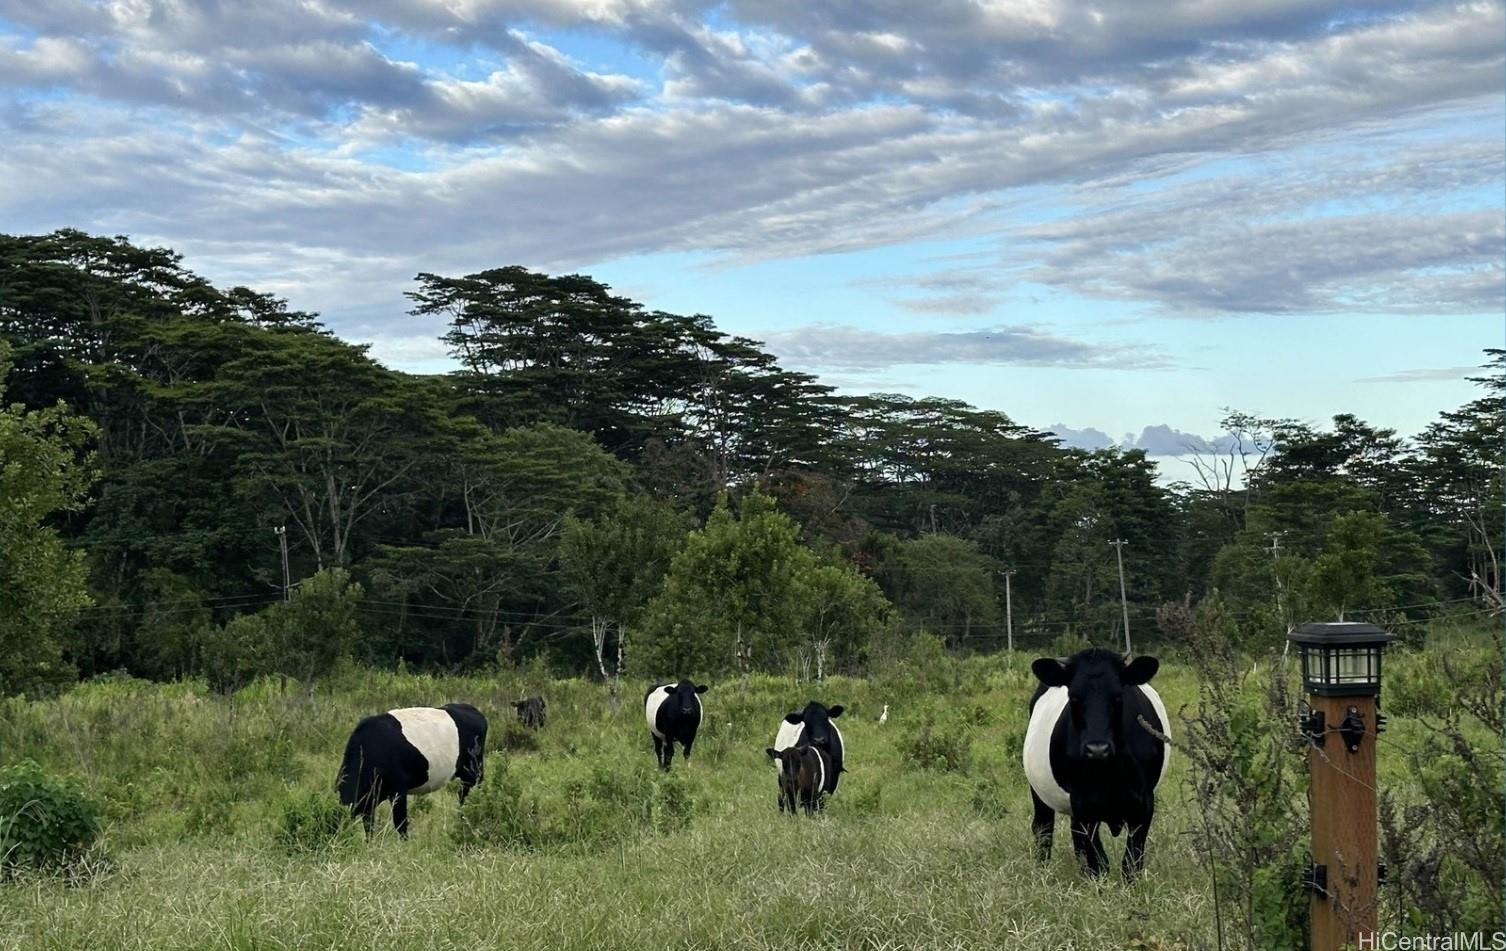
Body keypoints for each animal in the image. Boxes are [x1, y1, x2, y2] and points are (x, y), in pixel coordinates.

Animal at [337, 699, 487, 837]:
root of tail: (472, 709)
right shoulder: (369, 800)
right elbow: (369, 827)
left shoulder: (398, 790)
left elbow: (400, 824)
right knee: (463, 795)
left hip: (474, 770)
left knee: (471, 792)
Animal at [1024, 651, 1174, 880]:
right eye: (1074, 698)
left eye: (1118, 697)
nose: (1097, 749)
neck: (1110, 774)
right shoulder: (1083, 804)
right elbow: (1099, 863)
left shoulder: (1144, 803)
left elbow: (1131, 862)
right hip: (1040, 793)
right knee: (1043, 829)